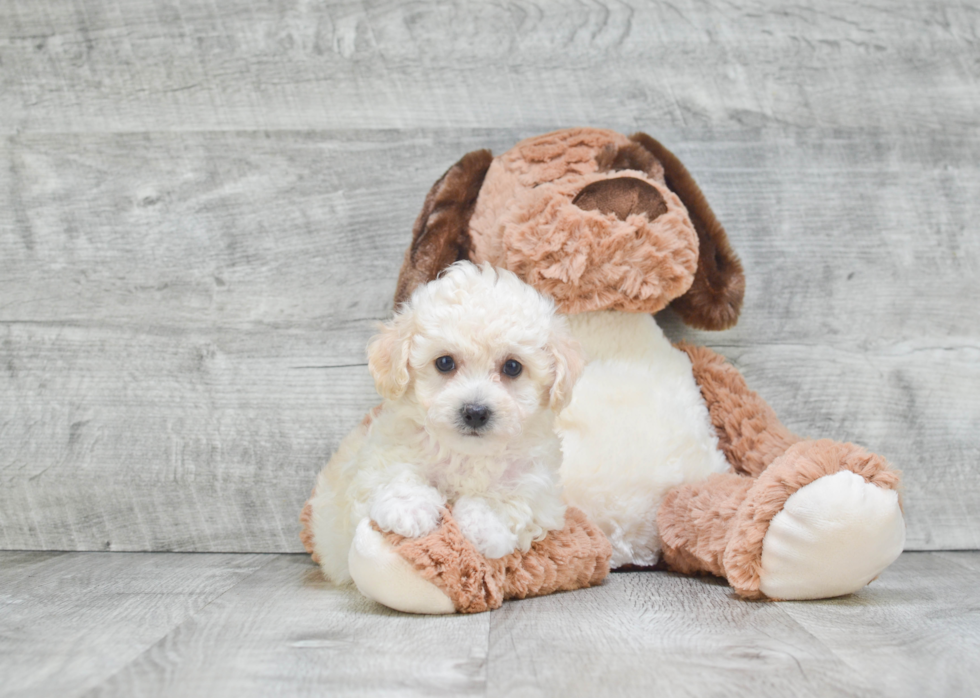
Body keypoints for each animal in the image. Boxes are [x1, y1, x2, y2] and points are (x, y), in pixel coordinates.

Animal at [308, 260, 580, 580]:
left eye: (513, 367)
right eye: (445, 362)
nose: (475, 411)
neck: (466, 455)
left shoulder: (540, 491)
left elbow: (511, 499)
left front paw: (487, 525)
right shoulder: (379, 457)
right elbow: (395, 473)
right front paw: (410, 509)